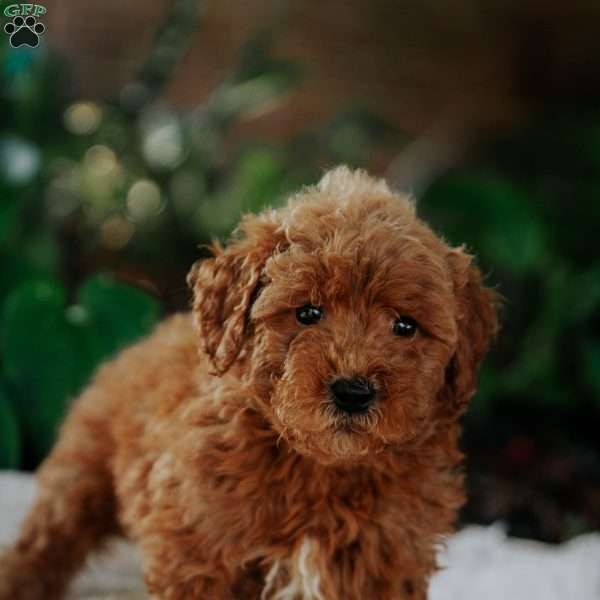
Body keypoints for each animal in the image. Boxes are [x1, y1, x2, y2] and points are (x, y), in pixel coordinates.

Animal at [0, 165, 496, 600]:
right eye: (307, 313)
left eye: (405, 326)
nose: (353, 392)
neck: (319, 470)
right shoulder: (195, 547)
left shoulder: (386, 559)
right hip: (83, 469)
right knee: (46, 540)